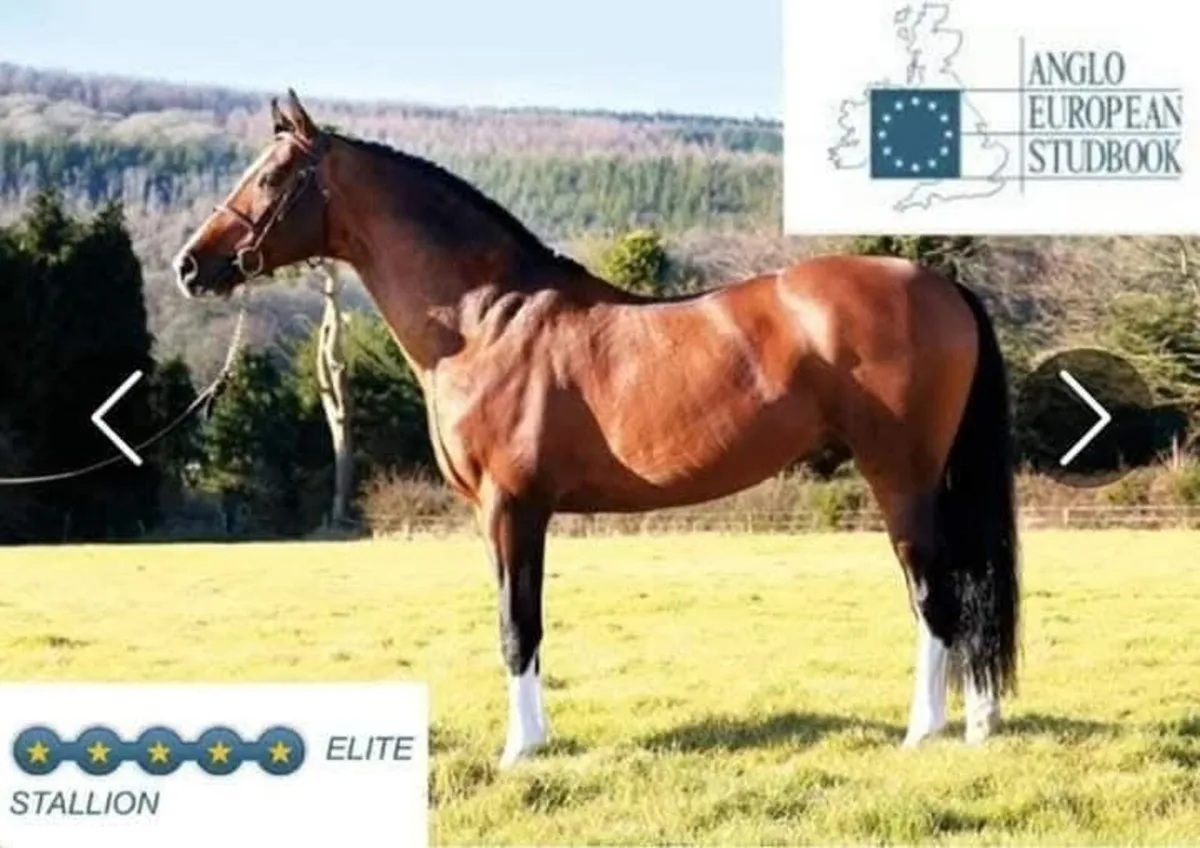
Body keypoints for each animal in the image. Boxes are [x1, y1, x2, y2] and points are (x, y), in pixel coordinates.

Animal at [174, 91, 1019, 767]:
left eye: (271, 177)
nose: (190, 266)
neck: (485, 321)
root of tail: (942, 286)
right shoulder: (504, 516)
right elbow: (525, 622)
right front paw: (539, 738)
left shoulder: (513, 508)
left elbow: (516, 626)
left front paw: (519, 750)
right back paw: (979, 723)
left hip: (899, 478)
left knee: (936, 594)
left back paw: (923, 731)